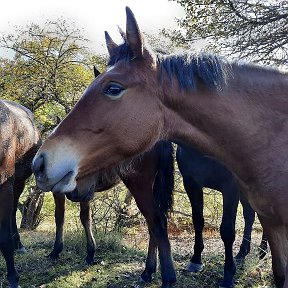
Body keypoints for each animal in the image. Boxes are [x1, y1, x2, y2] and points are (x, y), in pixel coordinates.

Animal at [32, 6, 288, 288]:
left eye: (113, 88)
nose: (39, 162)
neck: (270, 136)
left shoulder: (231, 191)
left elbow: (226, 230)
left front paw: (227, 274)